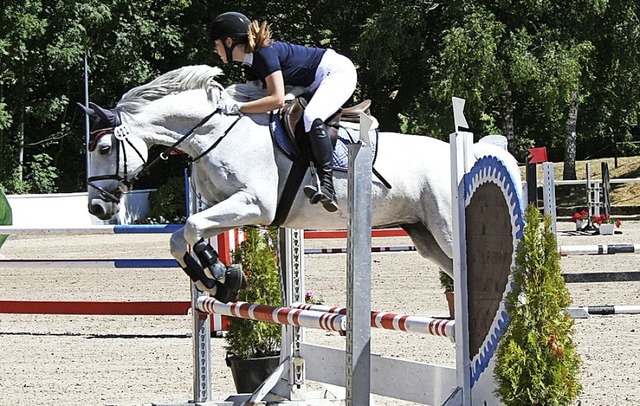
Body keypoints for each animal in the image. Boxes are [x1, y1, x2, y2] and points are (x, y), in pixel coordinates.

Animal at [80, 65, 524, 302]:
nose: (96, 208)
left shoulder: (252, 205)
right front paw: (218, 278)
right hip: (425, 236)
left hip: (448, 230)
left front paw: (220, 276)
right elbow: (184, 236)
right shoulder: (227, 206)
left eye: (103, 147)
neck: (215, 131)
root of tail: (473, 152)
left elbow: (189, 226)